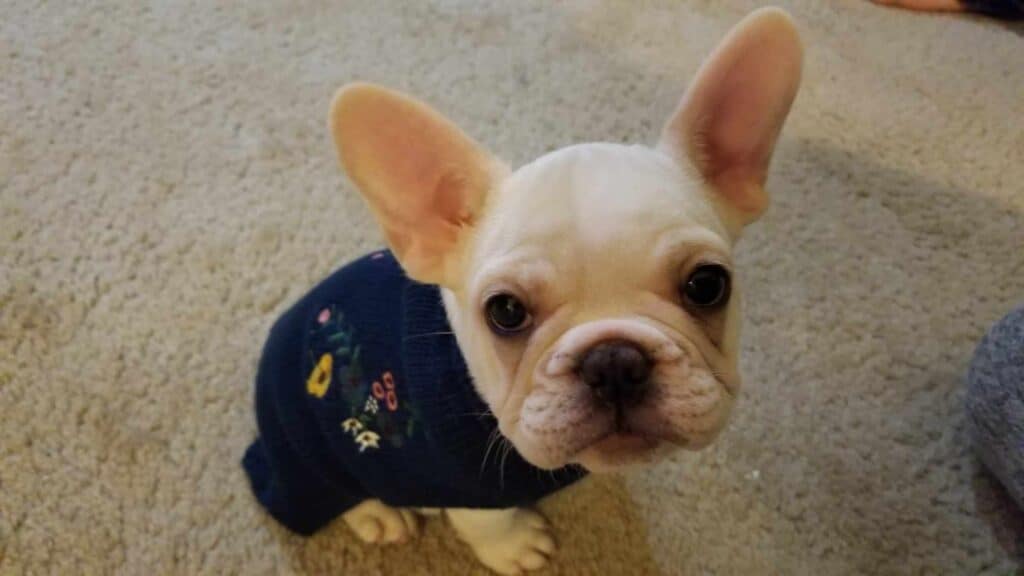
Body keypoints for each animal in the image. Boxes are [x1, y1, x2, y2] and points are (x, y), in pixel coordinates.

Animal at [243, 6, 802, 569]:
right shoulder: (458, 481)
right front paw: (514, 547)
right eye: (506, 311)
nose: (614, 361)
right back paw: (377, 515)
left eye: (707, 285)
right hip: (310, 456)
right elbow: (486, 520)